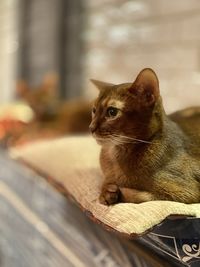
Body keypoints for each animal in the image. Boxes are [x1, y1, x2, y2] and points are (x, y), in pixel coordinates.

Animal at [90, 68, 200, 205]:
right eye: (94, 110)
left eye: (112, 112)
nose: (90, 128)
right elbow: (106, 182)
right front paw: (106, 191)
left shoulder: (187, 192)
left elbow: (140, 196)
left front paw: (116, 192)